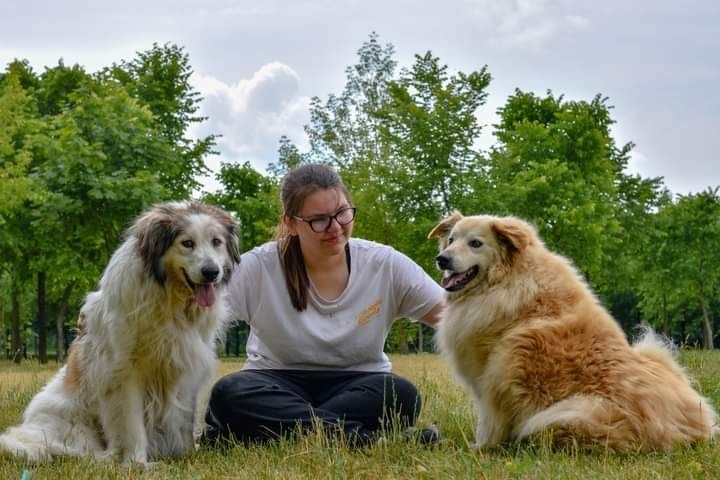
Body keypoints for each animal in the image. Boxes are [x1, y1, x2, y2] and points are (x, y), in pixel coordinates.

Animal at [430, 212, 716, 452]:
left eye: (475, 243)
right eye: (451, 240)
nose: (442, 259)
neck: (510, 281)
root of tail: (692, 432)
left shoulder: (494, 381)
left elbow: (489, 423)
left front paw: (478, 449)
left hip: (564, 415)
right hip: (655, 352)